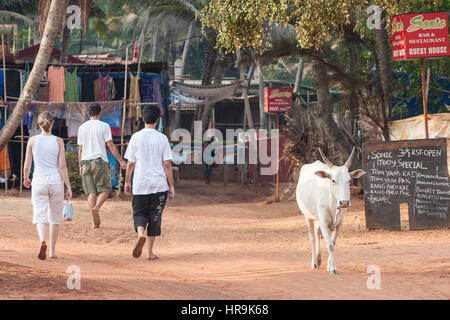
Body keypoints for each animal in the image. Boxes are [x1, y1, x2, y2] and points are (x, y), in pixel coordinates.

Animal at [298, 148, 368, 276]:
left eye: (349, 180)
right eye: (333, 180)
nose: (344, 202)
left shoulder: (339, 223)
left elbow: (333, 243)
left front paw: (329, 265)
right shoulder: (324, 222)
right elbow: (329, 245)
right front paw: (333, 269)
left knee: (317, 233)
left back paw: (319, 259)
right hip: (307, 216)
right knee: (312, 237)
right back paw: (314, 262)